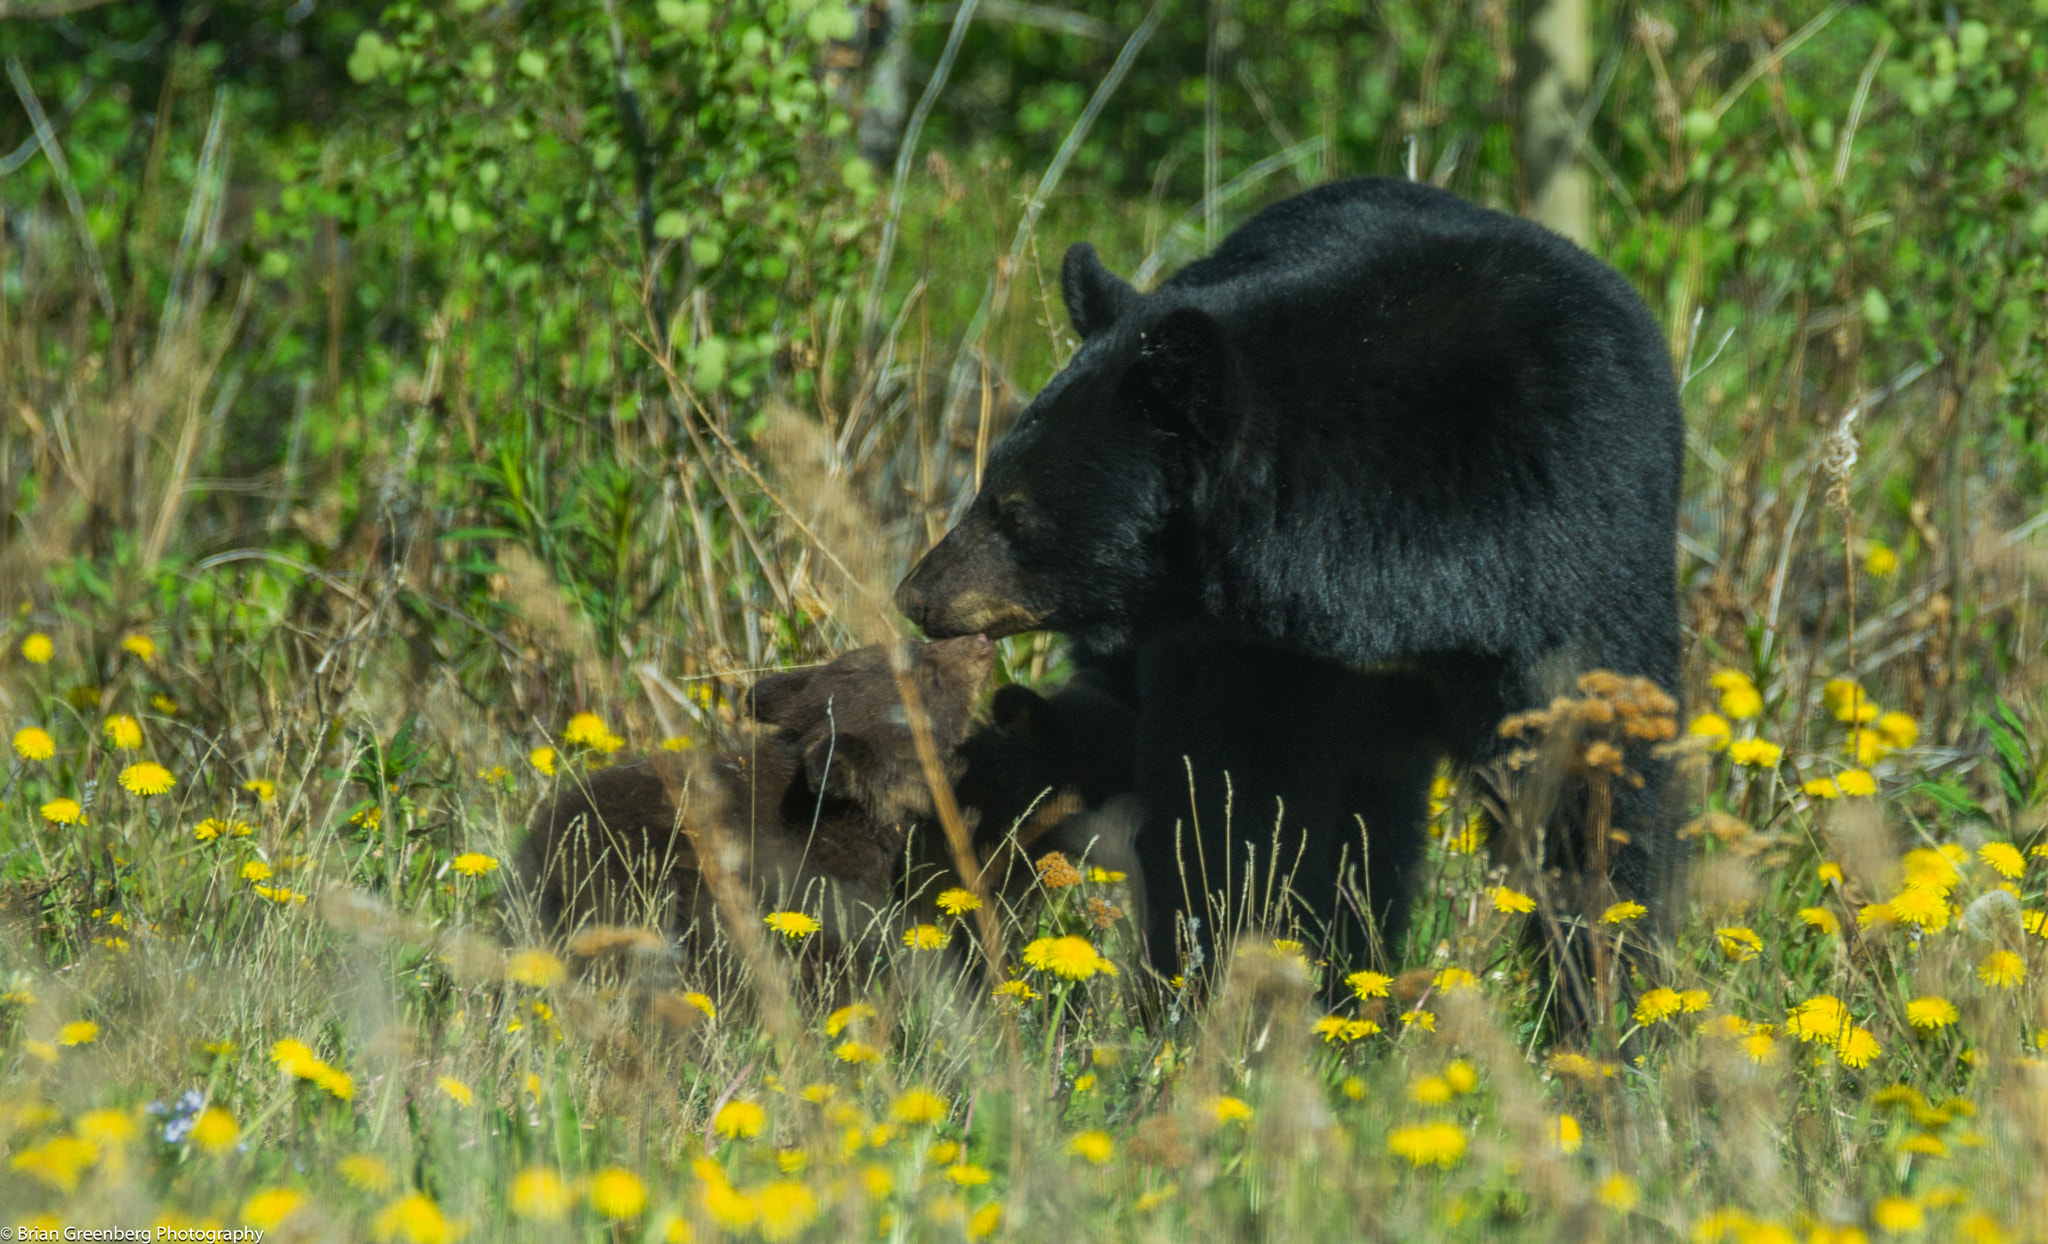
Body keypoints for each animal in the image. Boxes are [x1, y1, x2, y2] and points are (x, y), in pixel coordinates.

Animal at [897, 180, 1679, 1004]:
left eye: (1017, 512)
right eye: (989, 483)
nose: (917, 595)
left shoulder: (1569, 551)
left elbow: (1592, 786)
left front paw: (1611, 993)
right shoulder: (1252, 652)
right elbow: (1234, 811)